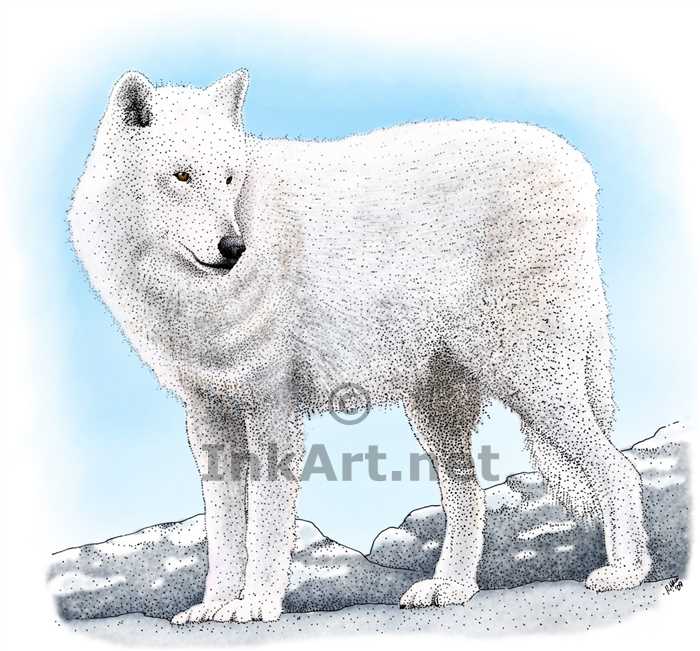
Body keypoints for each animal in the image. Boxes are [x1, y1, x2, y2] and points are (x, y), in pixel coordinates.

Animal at [69, 68, 651, 623]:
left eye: (229, 178)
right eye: (182, 176)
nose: (233, 247)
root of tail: (573, 163)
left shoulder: (272, 415)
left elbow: (266, 530)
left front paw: (255, 606)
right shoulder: (209, 419)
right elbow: (226, 533)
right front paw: (214, 606)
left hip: (534, 386)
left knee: (620, 472)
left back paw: (626, 573)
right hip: (439, 417)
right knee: (469, 500)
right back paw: (450, 588)